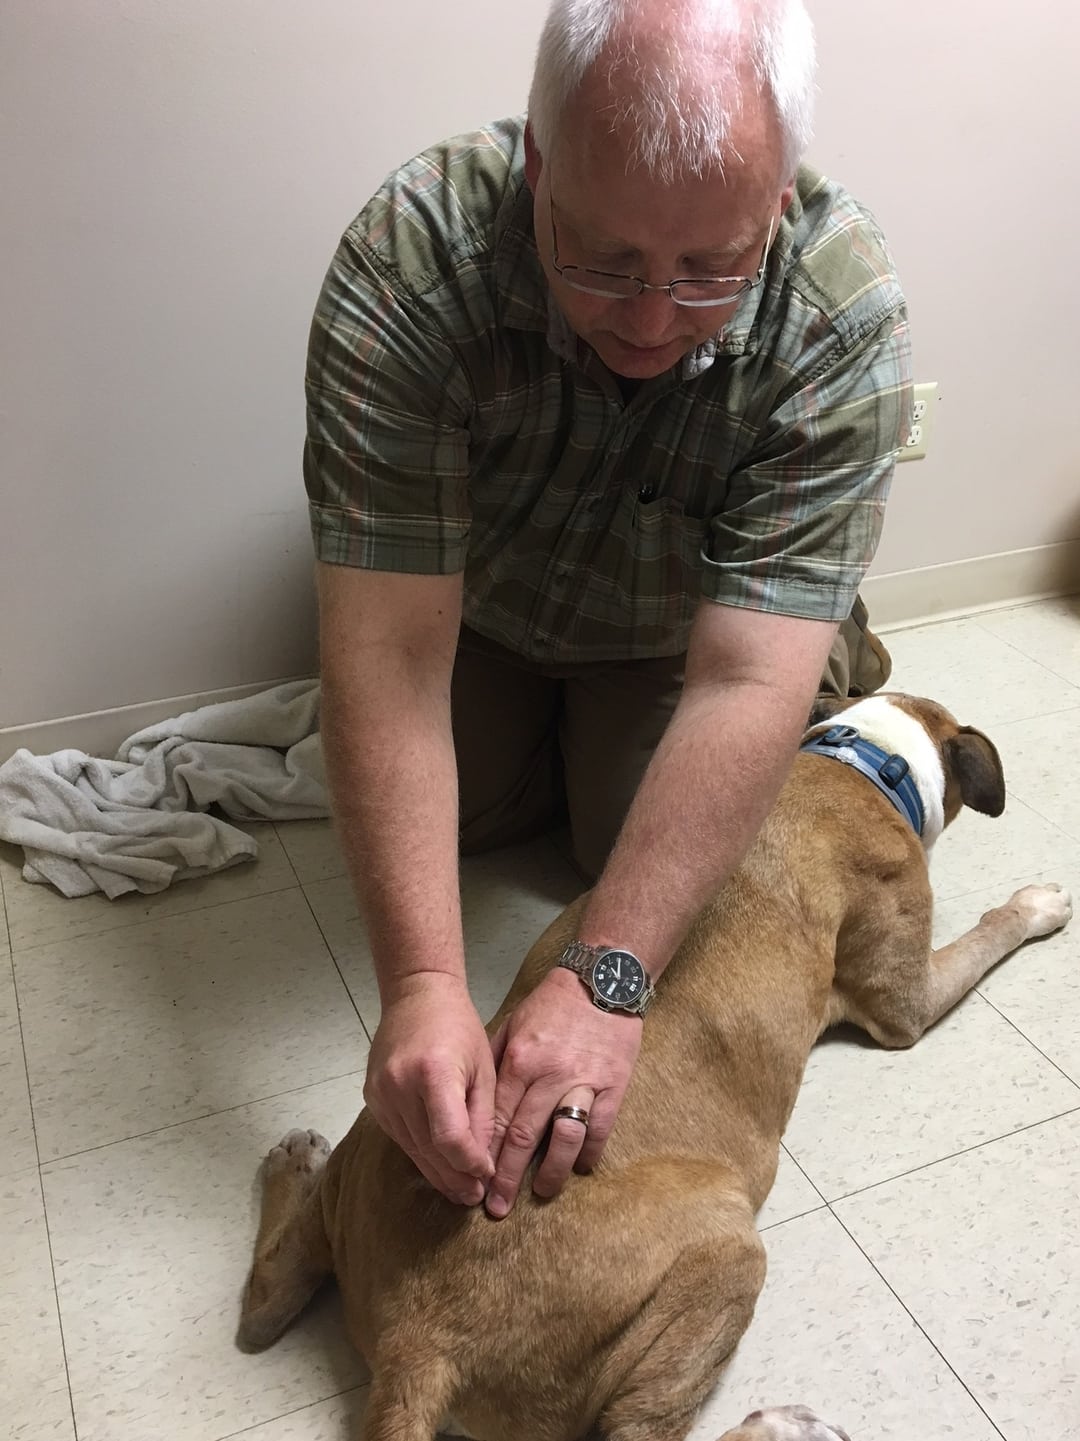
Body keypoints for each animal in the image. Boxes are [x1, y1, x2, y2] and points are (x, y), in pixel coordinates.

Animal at [236, 691, 1072, 1435]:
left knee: (265, 1303)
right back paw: (779, 1426)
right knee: (638, 1427)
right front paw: (1037, 903)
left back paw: (293, 1163)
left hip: (390, 1115)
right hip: (725, 1254)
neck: (860, 757)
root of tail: (419, 1339)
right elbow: (988, 933)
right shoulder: (904, 1005)